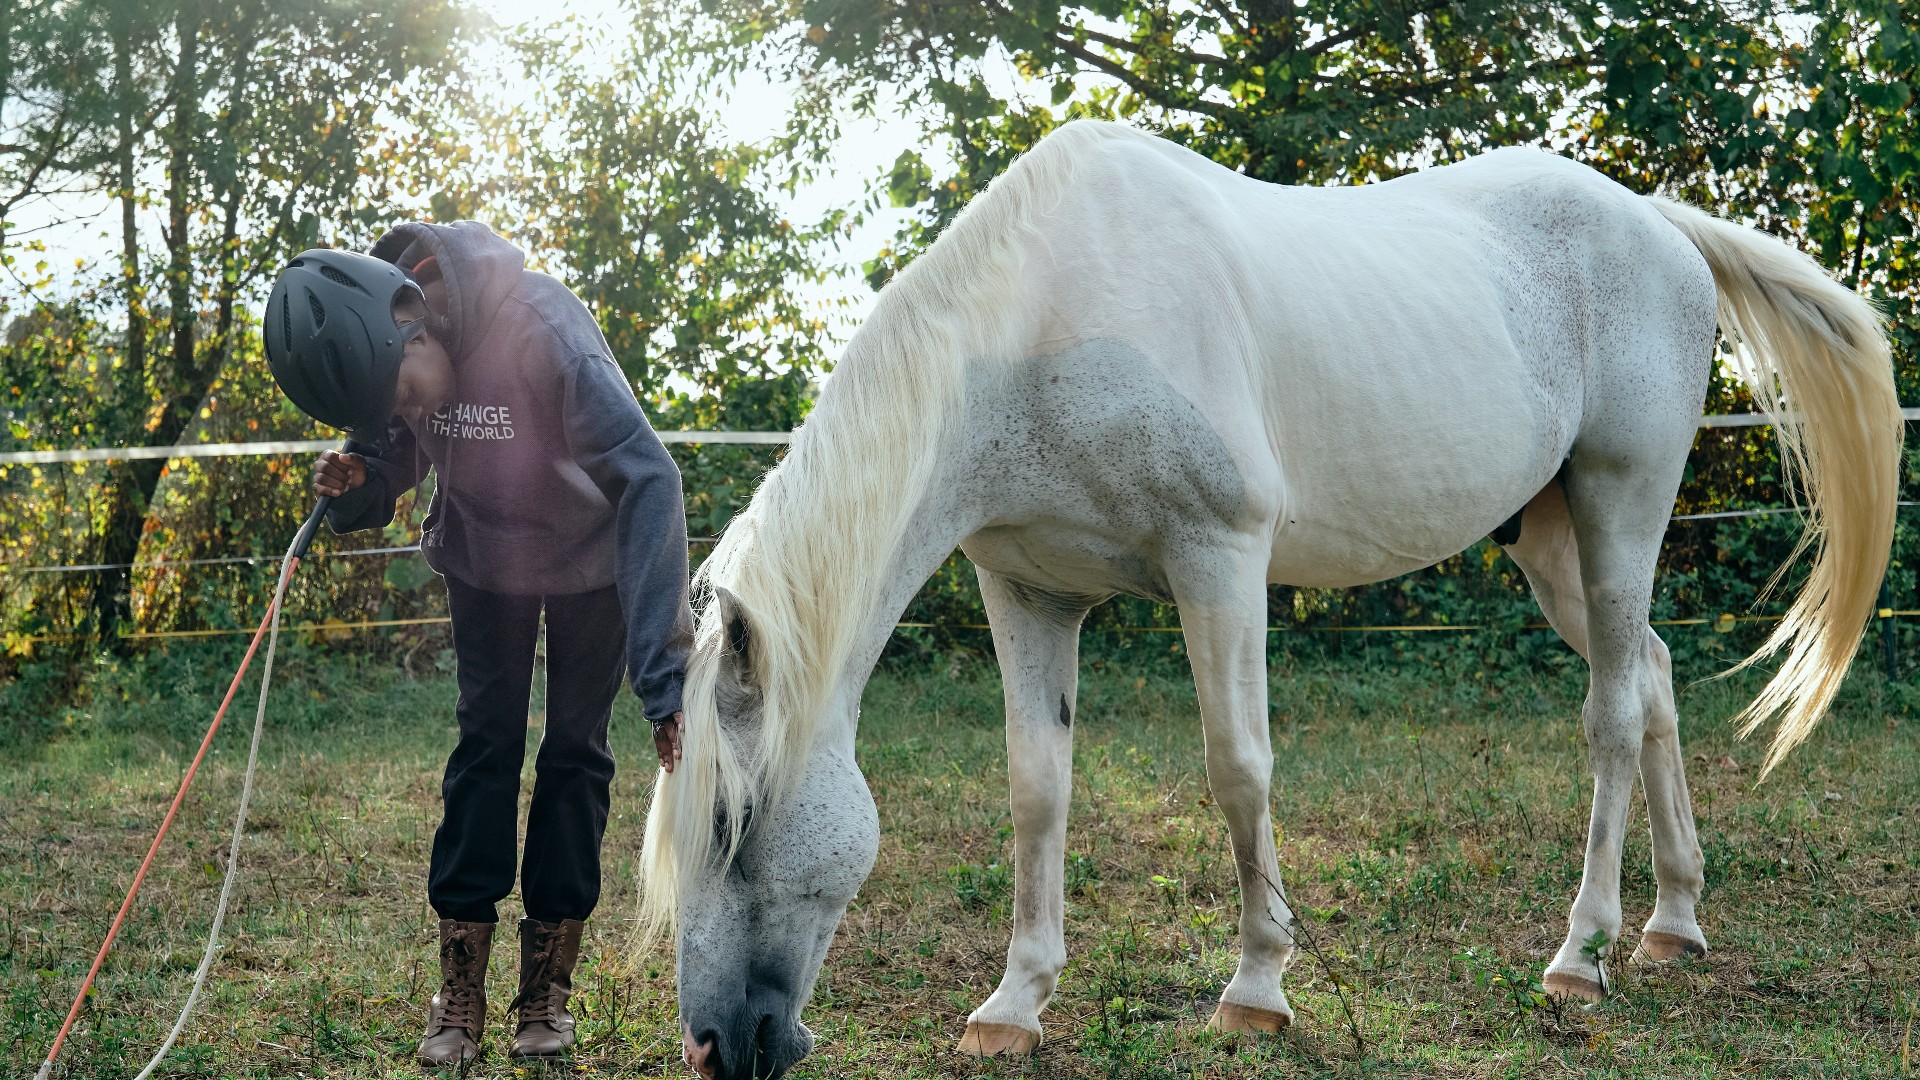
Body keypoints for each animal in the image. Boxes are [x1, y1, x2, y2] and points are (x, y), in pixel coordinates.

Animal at [640, 119, 1901, 1079]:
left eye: (732, 825)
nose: (715, 1046)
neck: (1047, 327)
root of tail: (1653, 219)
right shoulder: (1028, 591)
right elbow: (1037, 791)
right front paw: (1015, 1002)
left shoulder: (1220, 560)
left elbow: (1238, 768)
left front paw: (1256, 988)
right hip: (1551, 546)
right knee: (1652, 680)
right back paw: (1674, 925)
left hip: (1618, 508)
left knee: (1610, 716)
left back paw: (1580, 955)